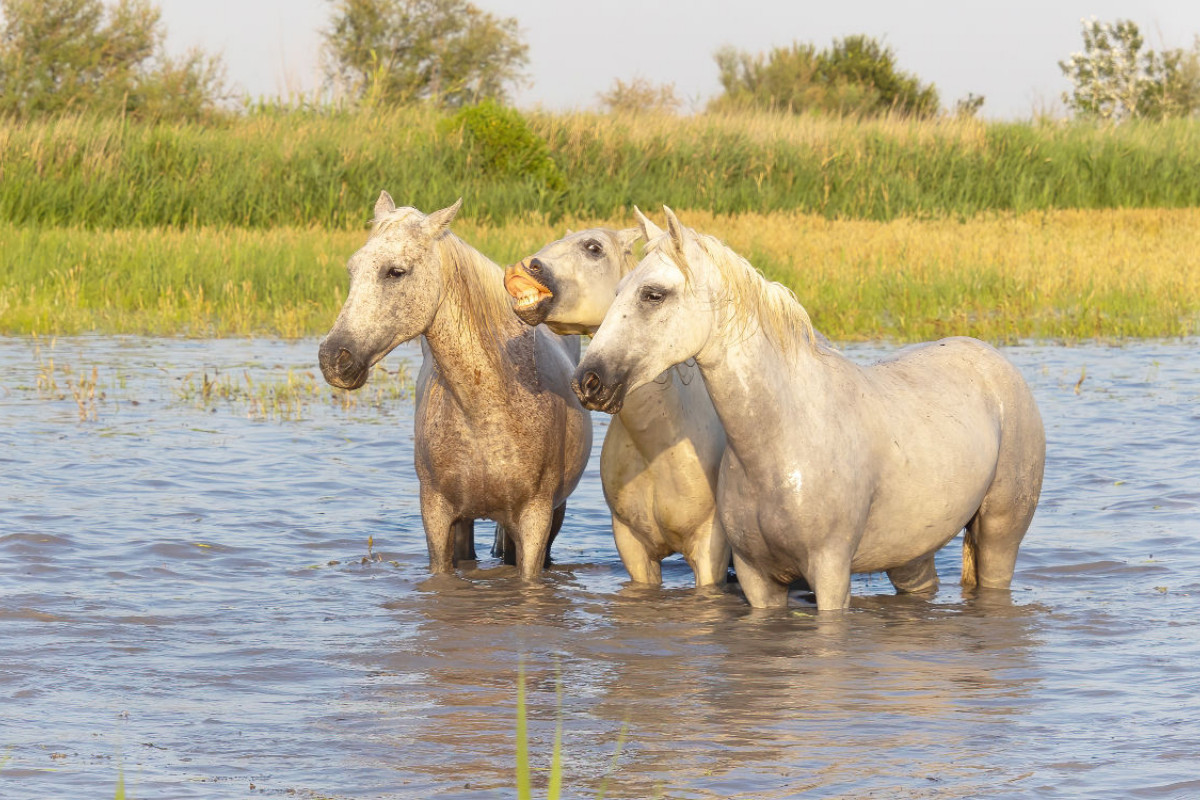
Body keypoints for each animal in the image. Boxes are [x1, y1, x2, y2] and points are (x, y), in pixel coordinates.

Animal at [319, 194, 590, 582]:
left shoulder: (534, 521)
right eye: (352, 269)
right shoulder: (437, 516)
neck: (487, 406)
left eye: (395, 271)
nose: (333, 358)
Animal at [571, 208, 1041, 614]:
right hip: (911, 553)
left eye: (654, 294)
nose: (588, 382)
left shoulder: (830, 571)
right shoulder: (756, 577)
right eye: (617, 292)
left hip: (1000, 534)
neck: (783, 436)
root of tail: (994, 362)